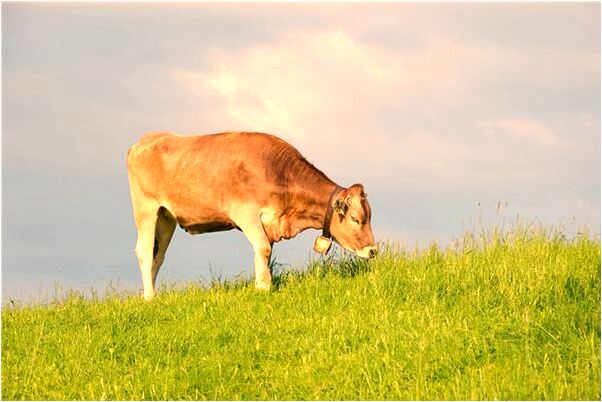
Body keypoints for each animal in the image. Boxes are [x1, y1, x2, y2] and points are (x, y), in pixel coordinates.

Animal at [126, 132, 376, 298]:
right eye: (356, 219)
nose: (373, 250)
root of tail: (145, 140)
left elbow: (264, 252)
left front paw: (264, 280)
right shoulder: (245, 213)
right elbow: (263, 249)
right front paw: (263, 287)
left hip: (166, 217)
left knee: (158, 255)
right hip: (146, 208)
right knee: (145, 252)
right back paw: (150, 298)